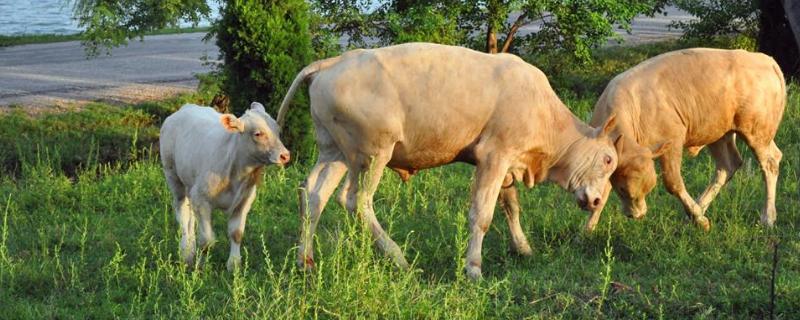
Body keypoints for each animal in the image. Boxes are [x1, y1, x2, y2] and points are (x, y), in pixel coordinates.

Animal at [160, 102, 290, 270]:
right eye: (257, 134)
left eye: (278, 130)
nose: (285, 155)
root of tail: (186, 107)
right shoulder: (201, 199)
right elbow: (207, 240)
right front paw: (201, 266)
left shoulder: (244, 201)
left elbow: (236, 233)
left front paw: (234, 264)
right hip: (173, 176)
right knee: (182, 213)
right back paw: (186, 253)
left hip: (190, 184)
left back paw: (190, 248)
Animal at [278, 43, 620, 280]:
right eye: (607, 160)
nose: (597, 200)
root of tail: (335, 60)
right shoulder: (494, 156)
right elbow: (482, 215)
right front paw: (473, 269)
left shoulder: (507, 163)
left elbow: (510, 206)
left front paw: (522, 248)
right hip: (373, 153)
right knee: (355, 199)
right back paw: (399, 258)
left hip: (334, 151)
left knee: (313, 195)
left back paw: (305, 261)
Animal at [584, 47, 784, 231]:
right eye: (621, 188)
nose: (635, 214)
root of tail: (765, 60)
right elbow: (602, 192)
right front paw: (588, 230)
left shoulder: (672, 141)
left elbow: (673, 183)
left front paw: (702, 221)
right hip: (719, 134)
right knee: (727, 166)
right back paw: (696, 212)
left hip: (757, 132)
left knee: (770, 162)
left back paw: (767, 218)